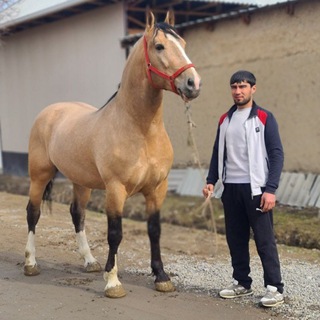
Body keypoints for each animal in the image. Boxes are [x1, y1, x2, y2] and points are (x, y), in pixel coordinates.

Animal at [23, 10, 201, 300]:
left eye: (183, 43)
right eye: (159, 46)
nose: (193, 83)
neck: (140, 130)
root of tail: (49, 111)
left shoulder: (157, 189)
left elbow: (154, 230)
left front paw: (161, 277)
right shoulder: (116, 189)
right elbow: (115, 233)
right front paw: (113, 282)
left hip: (81, 182)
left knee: (77, 214)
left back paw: (89, 261)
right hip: (39, 176)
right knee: (33, 213)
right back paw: (30, 263)